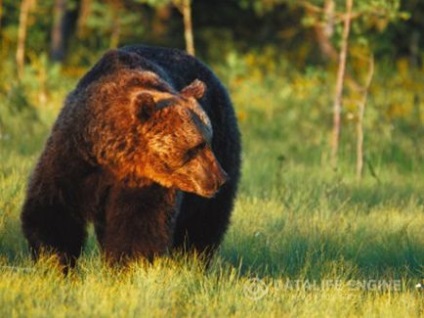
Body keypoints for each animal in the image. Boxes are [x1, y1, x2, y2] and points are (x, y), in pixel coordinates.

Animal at [20, 44, 242, 270]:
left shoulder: (143, 181)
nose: (220, 178)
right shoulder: (74, 154)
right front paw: (54, 260)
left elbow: (138, 223)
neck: (112, 155)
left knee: (203, 221)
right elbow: (54, 207)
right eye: (196, 146)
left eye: (207, 140)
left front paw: (129, 265)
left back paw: (193, 260)